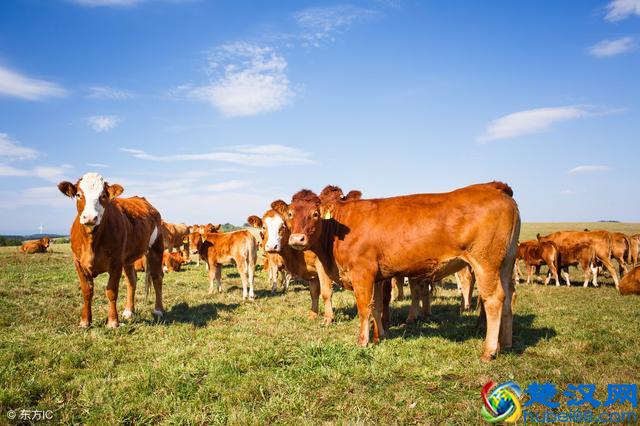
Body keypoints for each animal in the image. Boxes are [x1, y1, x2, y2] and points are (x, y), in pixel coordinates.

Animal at [57, 171, 165, 328]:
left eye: (103, 195)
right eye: (78, 194)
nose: (90, 217)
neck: (92, 241)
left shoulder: (116, 261)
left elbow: (111, 291)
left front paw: (113, 321)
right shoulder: (78, 262)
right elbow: (87, 291)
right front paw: (85, 321)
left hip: (156, 247)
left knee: (157, 277)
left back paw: (158, 310)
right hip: (128, 258)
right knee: (131, 280)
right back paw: (129, 311)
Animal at [278, 181, 520, 362]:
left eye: (315, 214)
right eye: (290, 214)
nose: (297, 239)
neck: (338, 228)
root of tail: (494, 188)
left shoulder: (362, 273)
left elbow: (364, 308)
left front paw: (363, 341)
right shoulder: (376, 277)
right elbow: (376, 307)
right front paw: (381, 336)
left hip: (485, 263)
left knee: (493, 300)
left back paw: (489, 351)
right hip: (506, 263)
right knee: (508, 297)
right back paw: (506, 344)